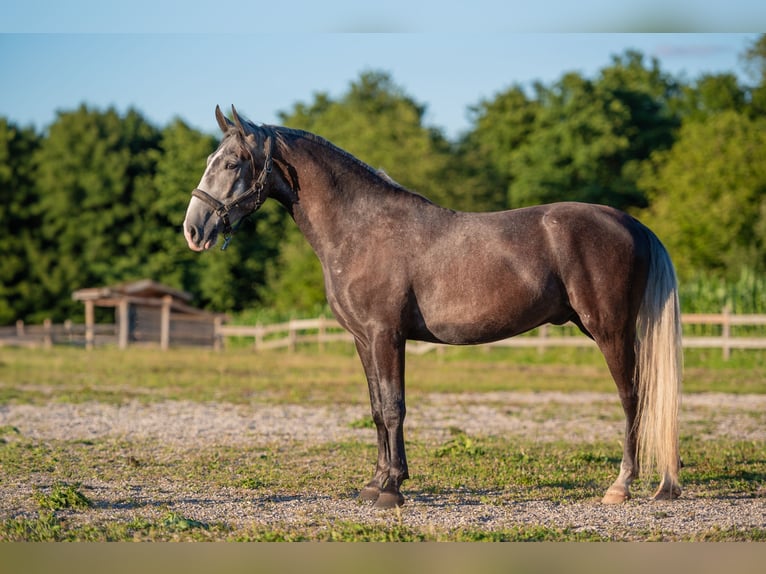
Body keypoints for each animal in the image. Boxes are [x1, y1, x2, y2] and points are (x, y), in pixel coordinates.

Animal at [182, 106, 684, 510]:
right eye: (208, 162)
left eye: (231, 163)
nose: (193, 229)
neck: (361, 228)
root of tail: (630, 223)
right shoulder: (364, 340)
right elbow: (376, 409)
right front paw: (376, 483)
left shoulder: (386, 335)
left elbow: (394, 408)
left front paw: (391, 490)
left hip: (610, 330)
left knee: (633, 397)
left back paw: (622, 485)